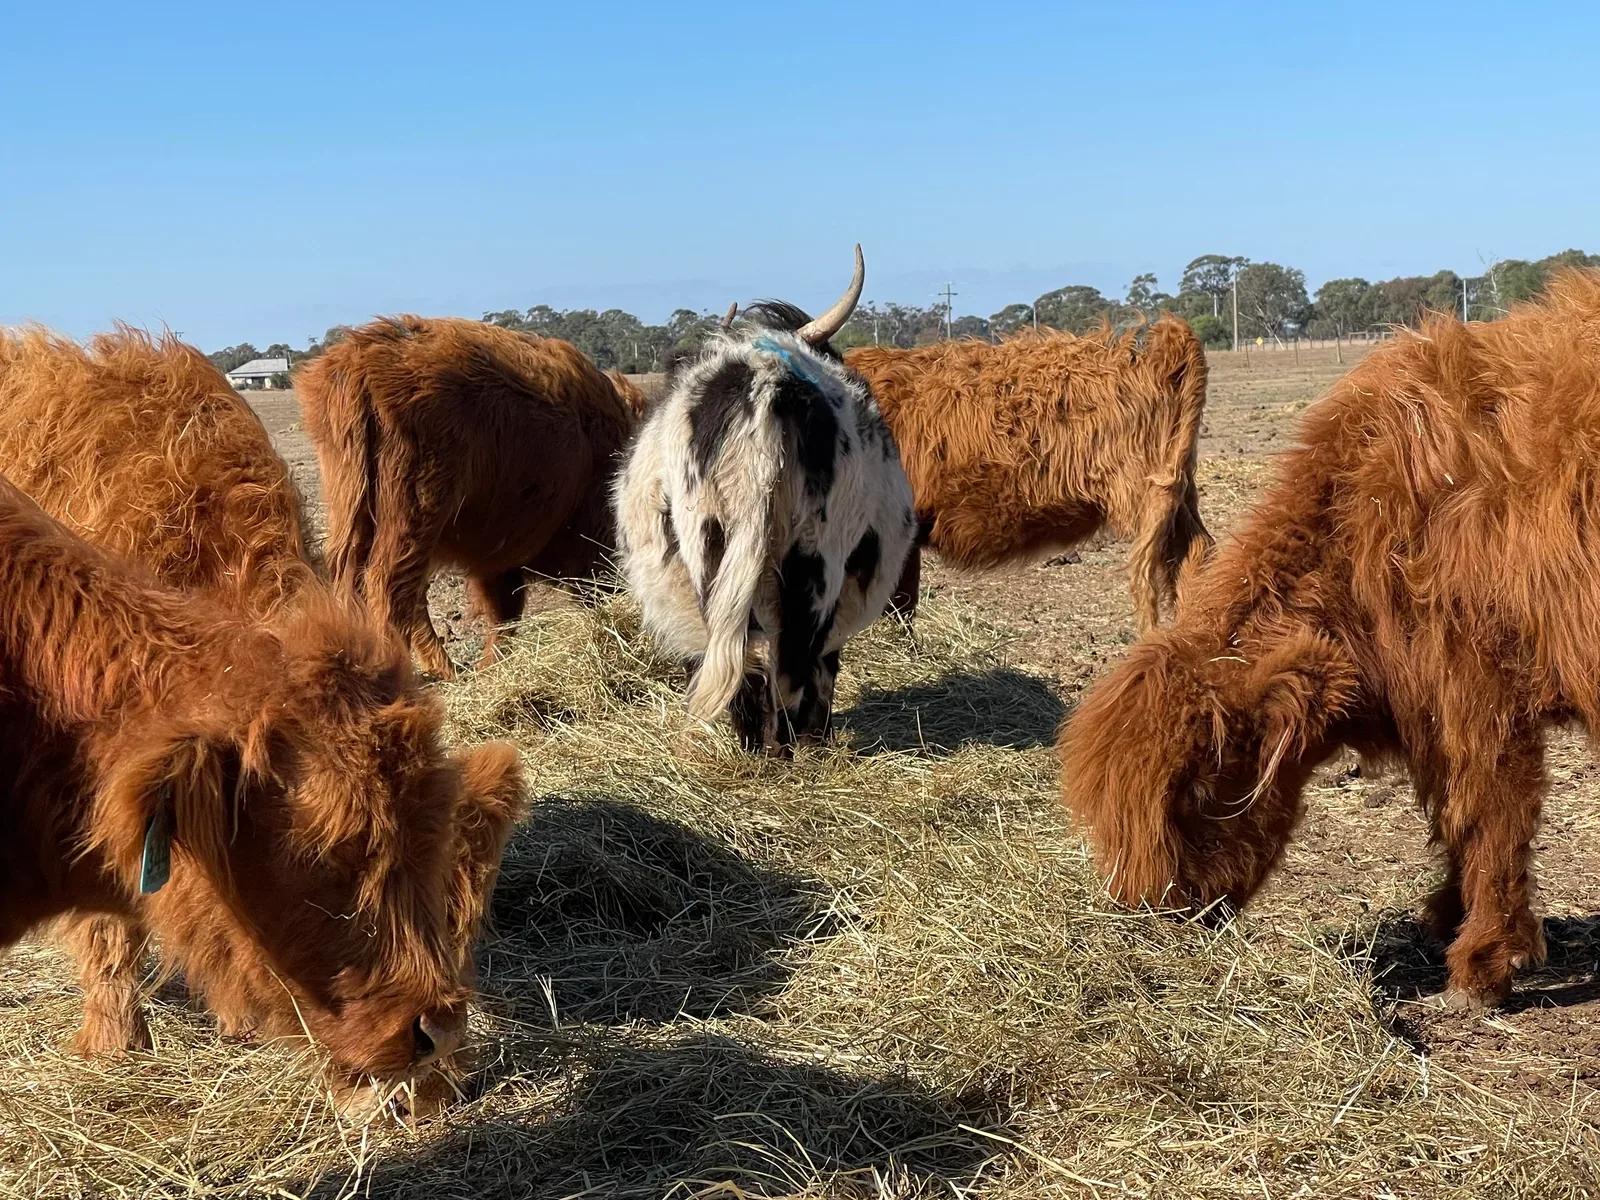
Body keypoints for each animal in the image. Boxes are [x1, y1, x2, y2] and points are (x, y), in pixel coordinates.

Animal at [296, 316, 636, 678]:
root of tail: (361, 362)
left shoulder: (498, 556)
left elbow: (503, 614)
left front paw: (489, 668)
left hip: (356, 509)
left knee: (370, 588)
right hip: (414, 510)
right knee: (389, 589)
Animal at [613, 246, 917, 753]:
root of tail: (763, 383)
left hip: (713, 549)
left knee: (748, 655)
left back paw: (763, 745)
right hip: (816, 557)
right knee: (792, 660)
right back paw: (793, 743)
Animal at [1059, 270, 1600, 1012]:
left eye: (1197, 792)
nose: (1160, 910)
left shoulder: (1481, 691)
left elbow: (1492, 812)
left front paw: (1482, 965)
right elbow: (1455, 813)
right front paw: (1445, 914)